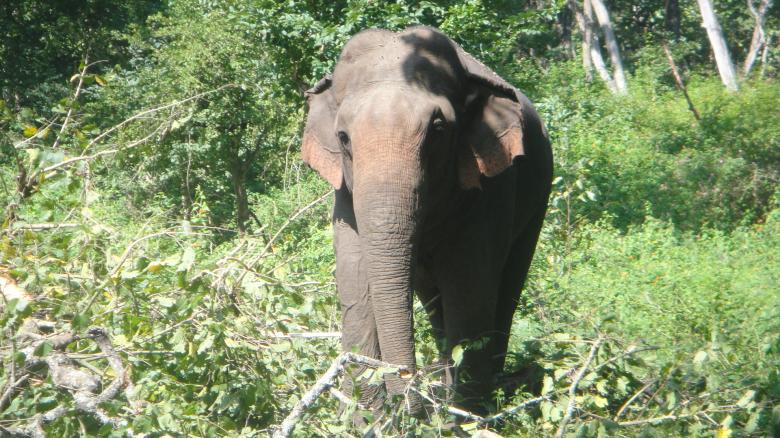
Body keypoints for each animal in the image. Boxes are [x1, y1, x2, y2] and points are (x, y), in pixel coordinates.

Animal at [301, 26, 553, 414]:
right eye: (343, 138)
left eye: (437, 130)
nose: (409, 398)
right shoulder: (345, 195)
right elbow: (355, 285)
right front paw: (371, 417)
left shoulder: (491, 188)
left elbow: (469, 292)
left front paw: (463, 417)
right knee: (435, 304)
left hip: (538, 198)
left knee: (505, 290)